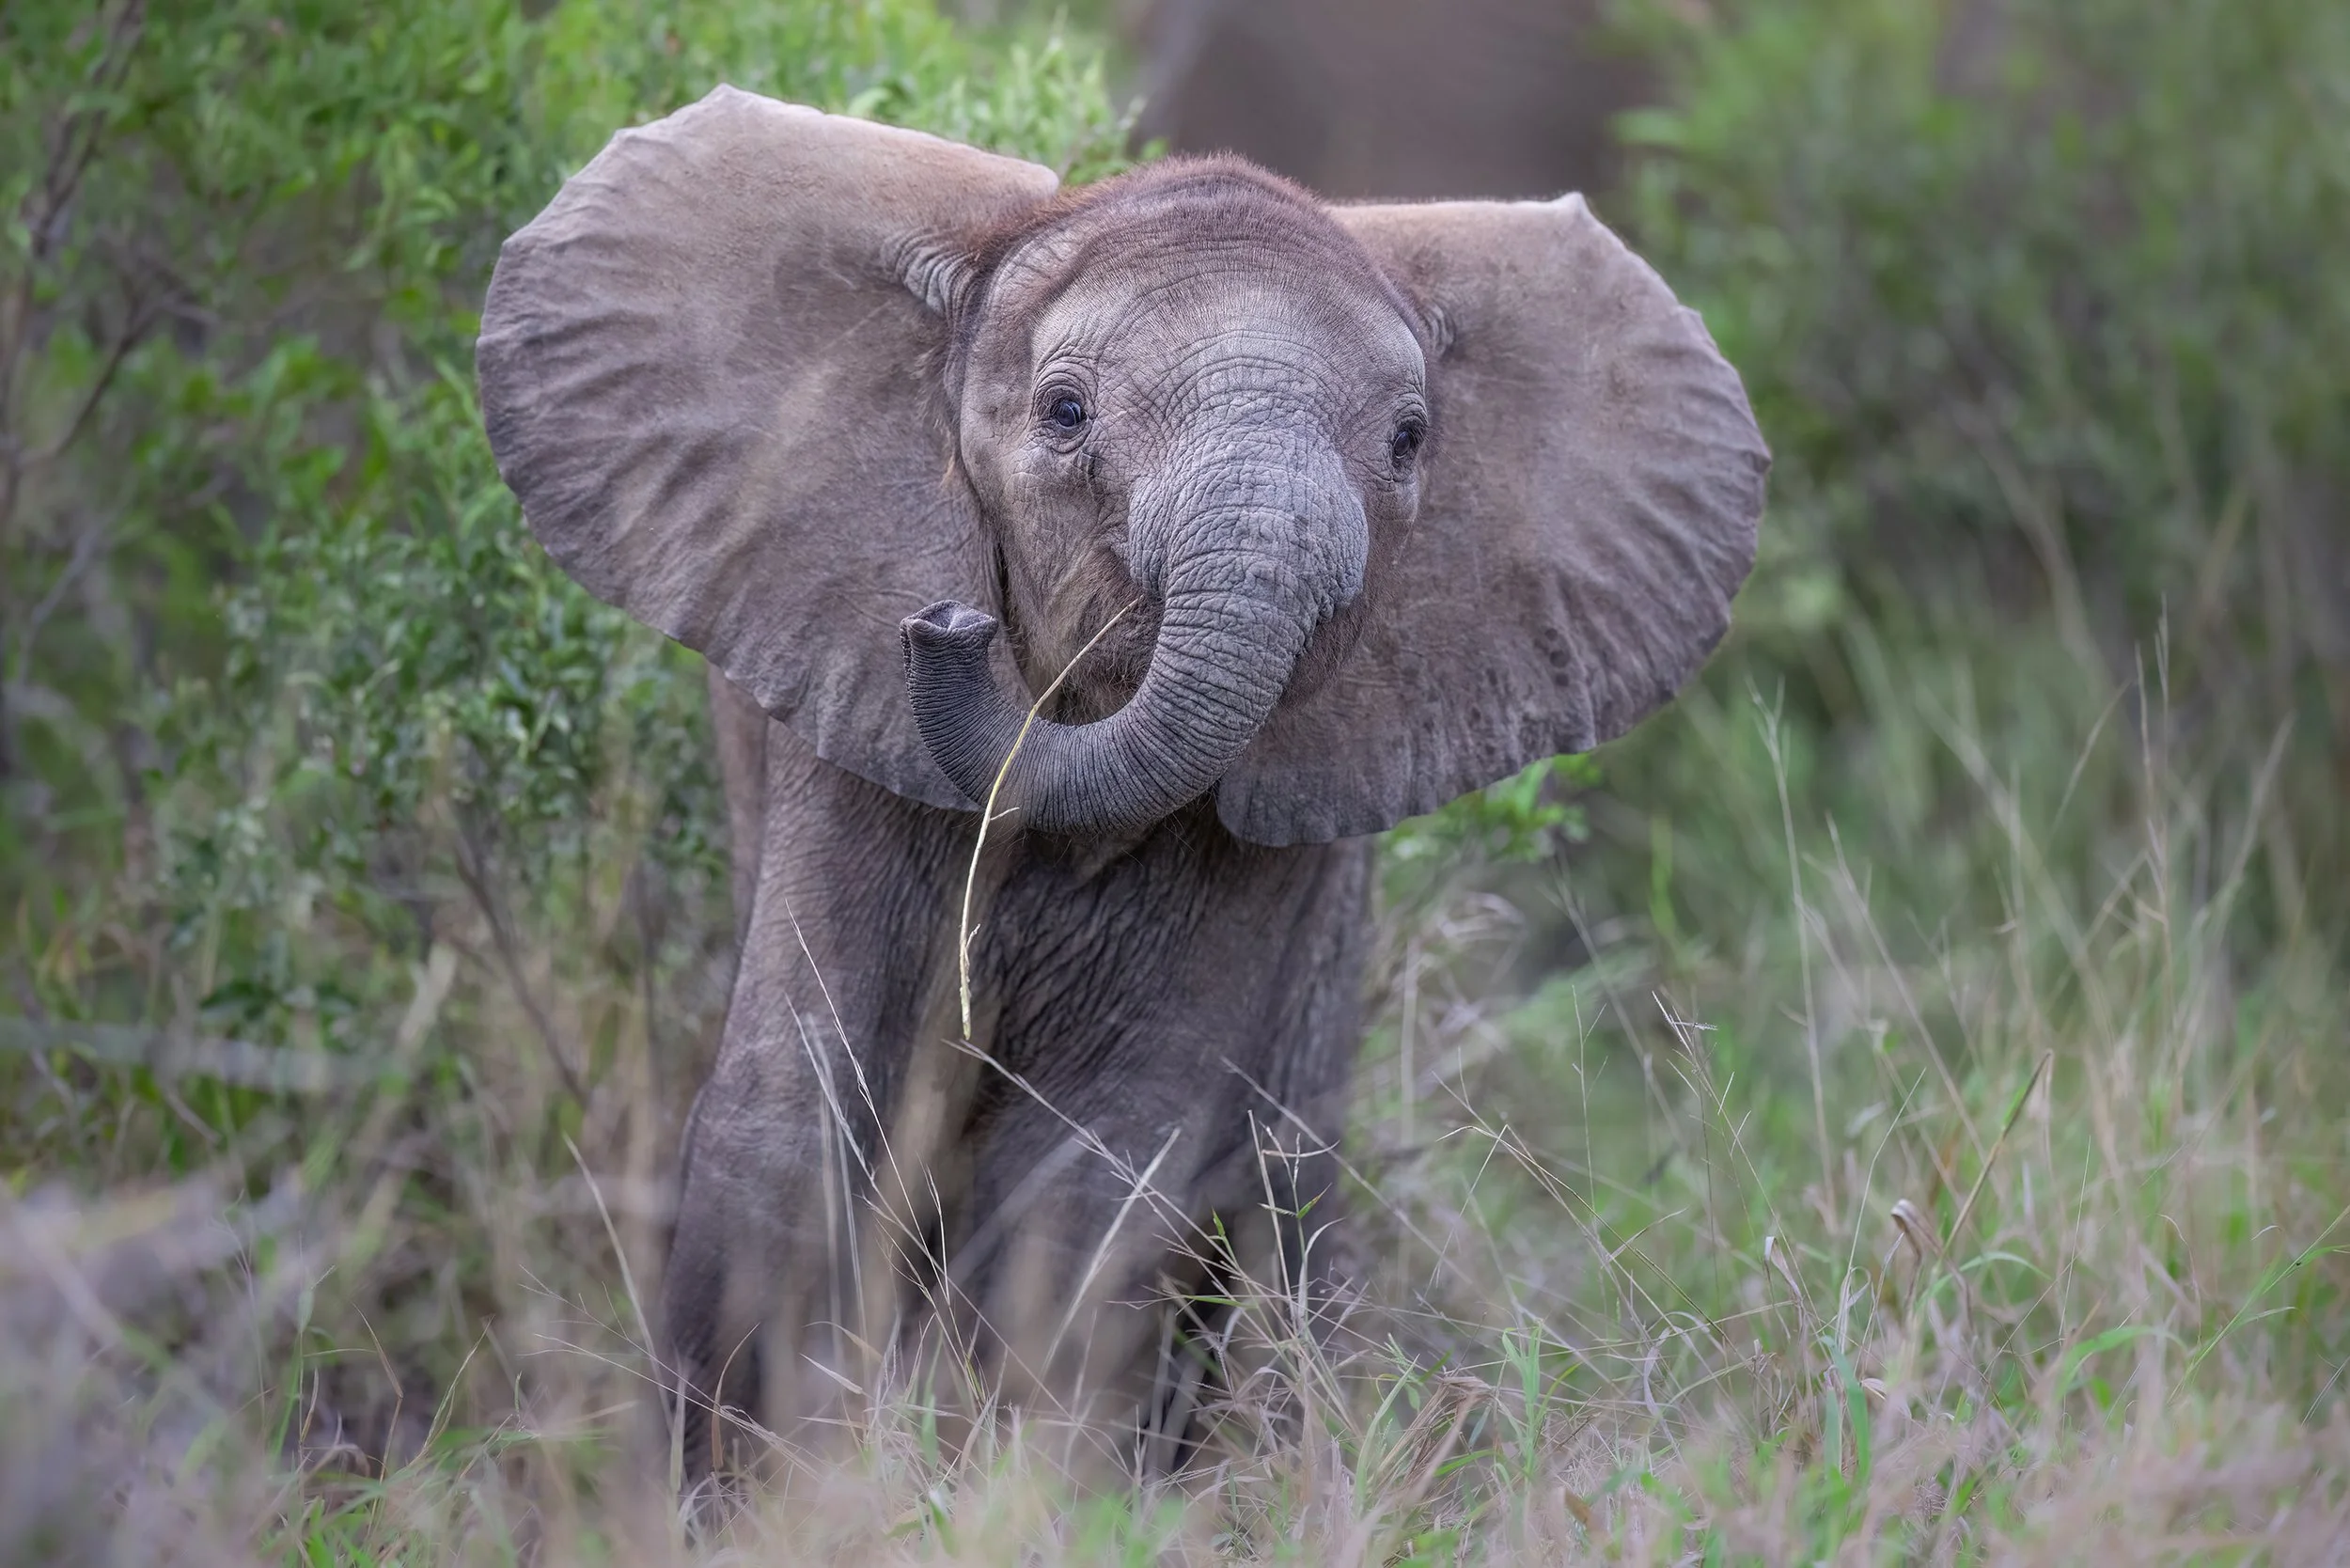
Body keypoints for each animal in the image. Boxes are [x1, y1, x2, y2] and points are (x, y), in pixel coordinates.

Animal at [475, 86, 1766, 1485]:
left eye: (1410, 440)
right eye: (1065, 413)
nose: (945, 624)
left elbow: (1092, 1178)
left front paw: (1032, 1488)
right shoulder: (843, 707)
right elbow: (795, 1104)